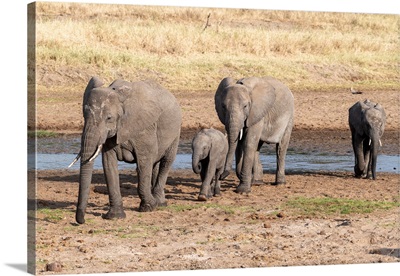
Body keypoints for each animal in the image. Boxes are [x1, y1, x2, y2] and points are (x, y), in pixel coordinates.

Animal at [69, 76, 181, 224]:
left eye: (109, 118)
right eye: (84, 116)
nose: (81, 221)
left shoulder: (144, 128)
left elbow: (144, 162)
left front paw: (149, 207)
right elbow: (109, 166)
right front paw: (115, 216)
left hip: (176, 131)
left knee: (166, 162)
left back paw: (160, 203)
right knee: (155, 164)